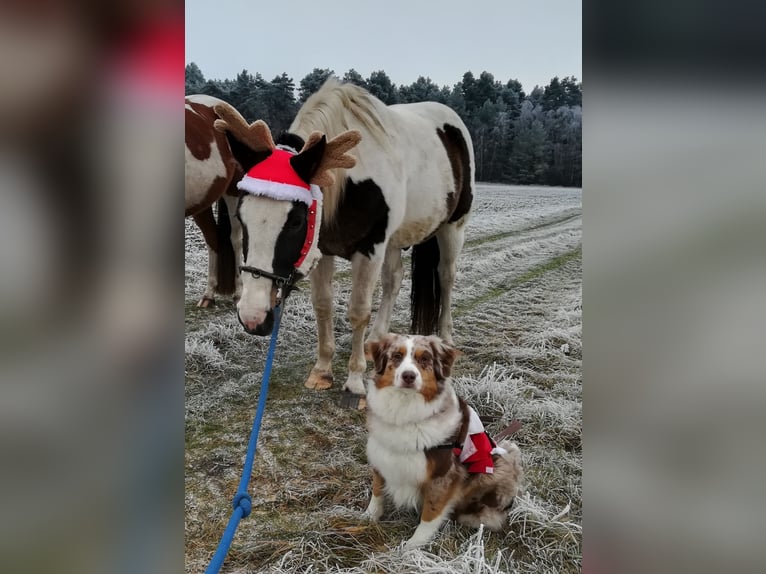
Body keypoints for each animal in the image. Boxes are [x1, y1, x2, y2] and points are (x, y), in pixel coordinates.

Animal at [184, 95, 244, 308]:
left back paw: (239, 293)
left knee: (235, 240)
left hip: (233, 192)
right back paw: (208, 295)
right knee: (212, 238)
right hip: (201, 203)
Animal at [214, 79, 474, 398]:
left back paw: (446, 339)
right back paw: (376, 341)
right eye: (241, 215)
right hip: (394, 240)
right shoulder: (323, 248)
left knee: (446, 277)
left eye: (296, 220)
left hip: (453, 228)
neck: (351, 180)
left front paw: (355, 379)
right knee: (393, 280)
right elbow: (323, 304)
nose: (253, 317)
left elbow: (358, 311)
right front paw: (322, 369)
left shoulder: (370, 250)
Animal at [364, 336, 524, 552]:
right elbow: (377, 490)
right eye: (397, 356)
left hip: (498, 466)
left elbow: (430, 513)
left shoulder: (443, 475)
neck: (405, 410)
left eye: (424, 359)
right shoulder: (381, 455)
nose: (408, 376)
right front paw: (369, 516)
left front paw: (413, 547)